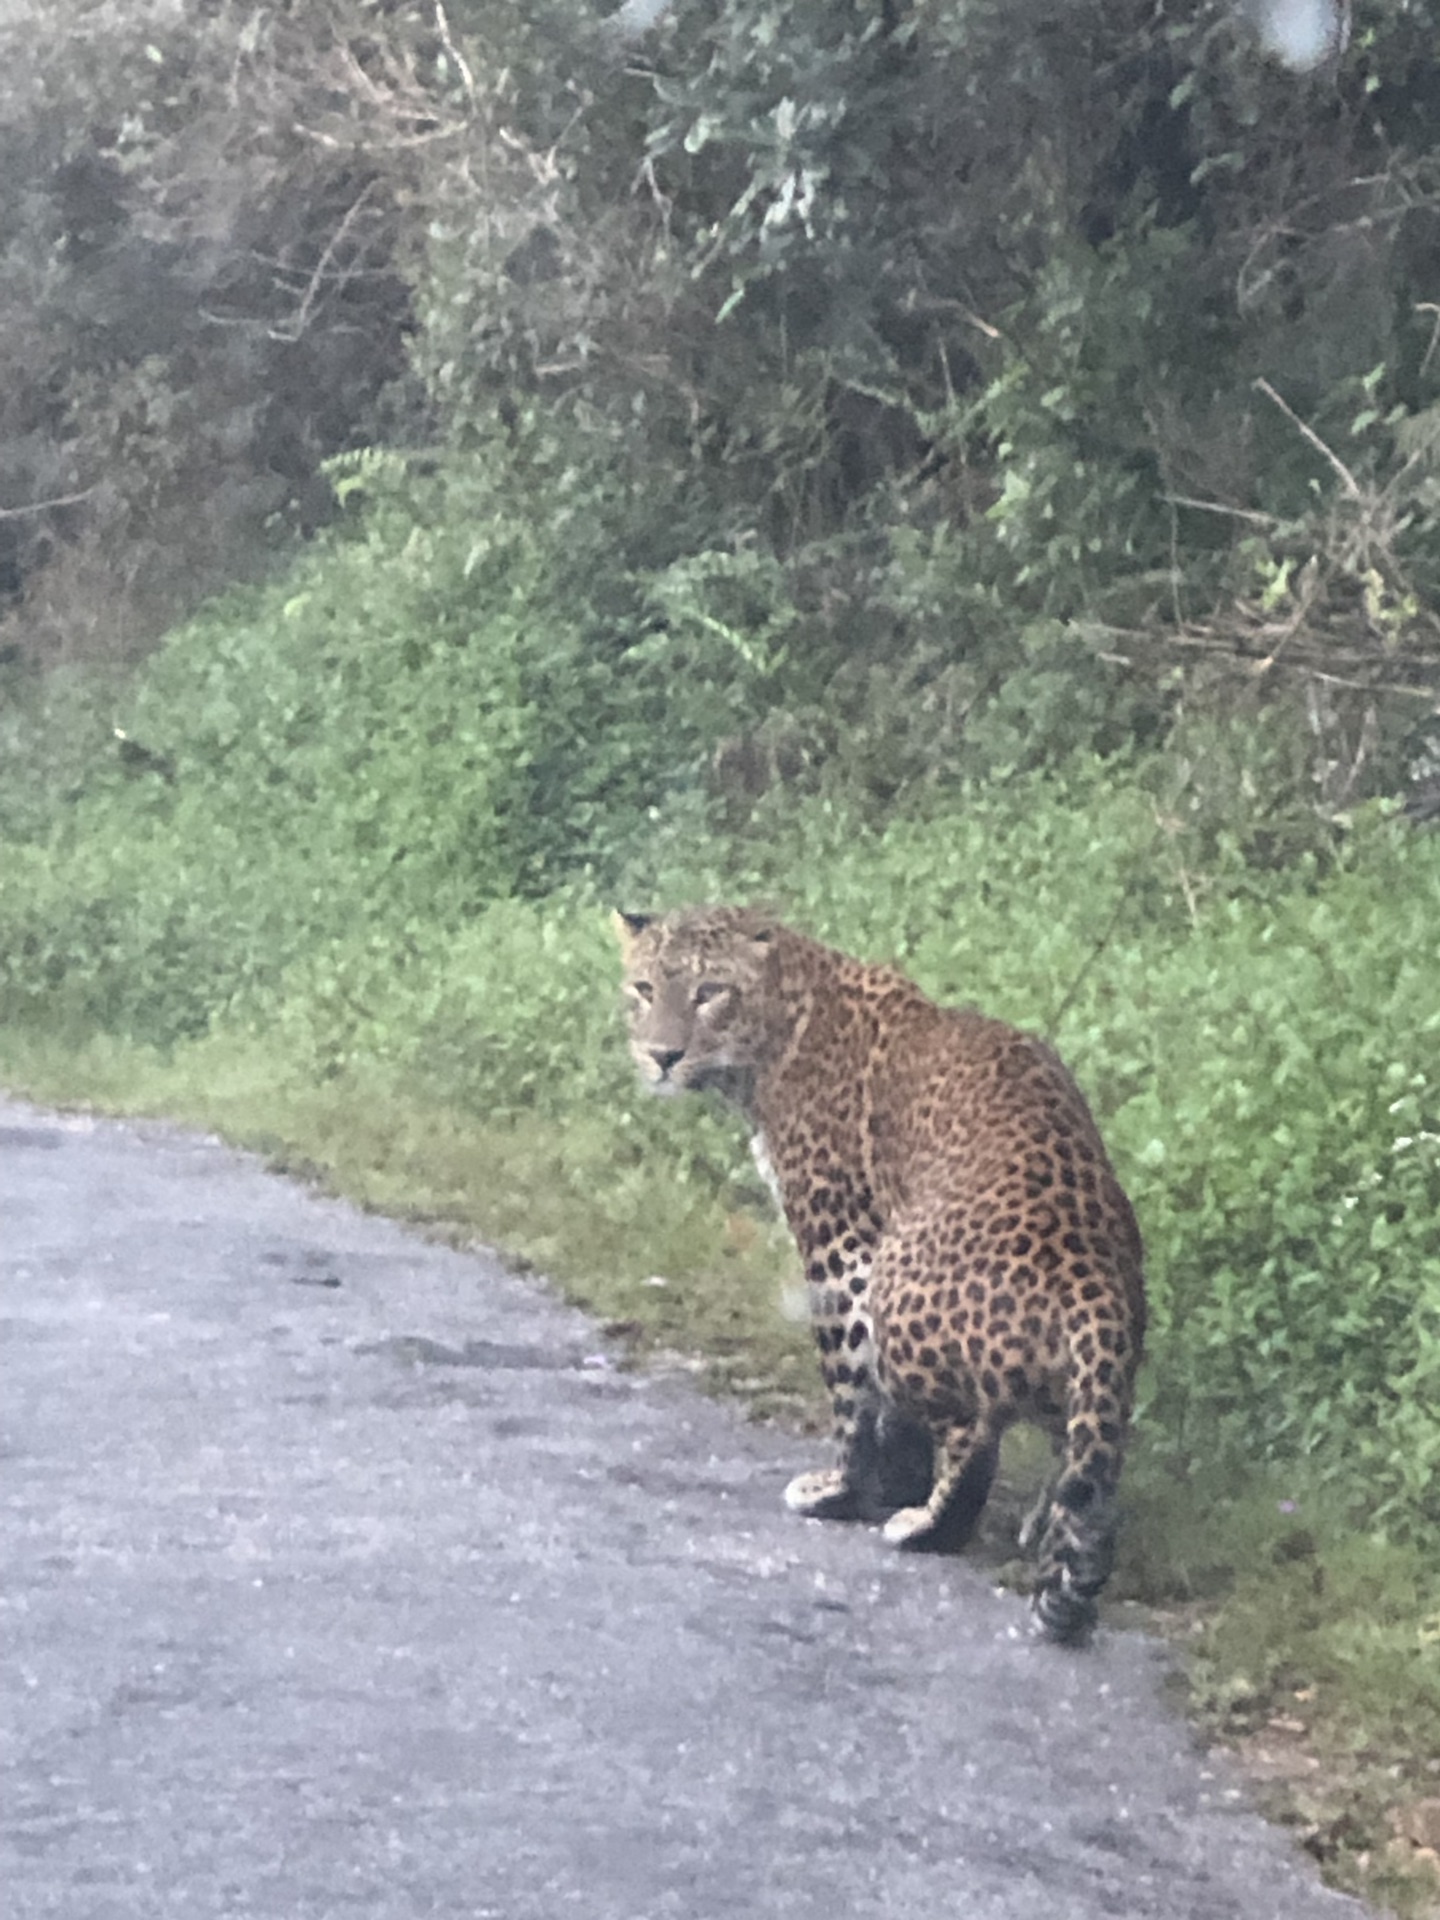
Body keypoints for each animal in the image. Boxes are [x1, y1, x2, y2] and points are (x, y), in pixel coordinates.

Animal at [618, 906, 1152, 1643]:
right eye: (643, 988)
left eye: (709, 993)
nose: (660, 1056)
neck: (784, 1027)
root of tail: (1091, 1284)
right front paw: (893, 1477)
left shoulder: (840, 1247)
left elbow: (848, 1383)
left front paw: (843, 1487)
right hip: (1088, 1380)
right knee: (1086, 1471)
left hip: (899, 1285)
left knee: (971, 1435)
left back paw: (926, 1526)